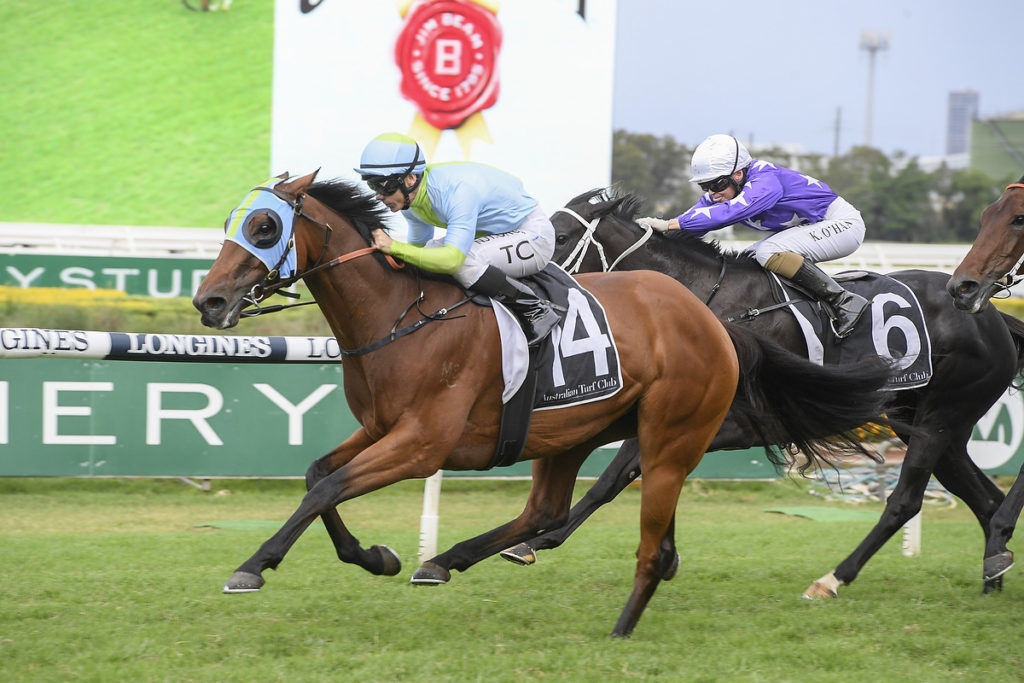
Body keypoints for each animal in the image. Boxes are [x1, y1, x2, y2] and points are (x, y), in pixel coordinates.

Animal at [193, 172, 894, 637]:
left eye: (264, 226)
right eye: (231, 223)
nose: (209, 302)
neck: (403, 316)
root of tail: (716, 324)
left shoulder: (421, 444)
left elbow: (326, 487)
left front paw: (252, 566)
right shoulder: (381, 429)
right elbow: (320, 475)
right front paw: (375, 556)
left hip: (664, 428)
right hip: (573, 432)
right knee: (546, 509)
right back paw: (448, 561)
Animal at [499, 187, 1024, 598]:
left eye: (559, 238)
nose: (513, 285)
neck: (707, 305)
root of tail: (992, 314)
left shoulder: (740, 422)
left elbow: (620, 473)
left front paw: (539, 540)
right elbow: (623, 477)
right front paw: (532, 542)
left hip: (939, 418)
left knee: (906, 500)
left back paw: (832, 579)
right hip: (928, 423)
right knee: (985, 500)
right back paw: (993, 572)